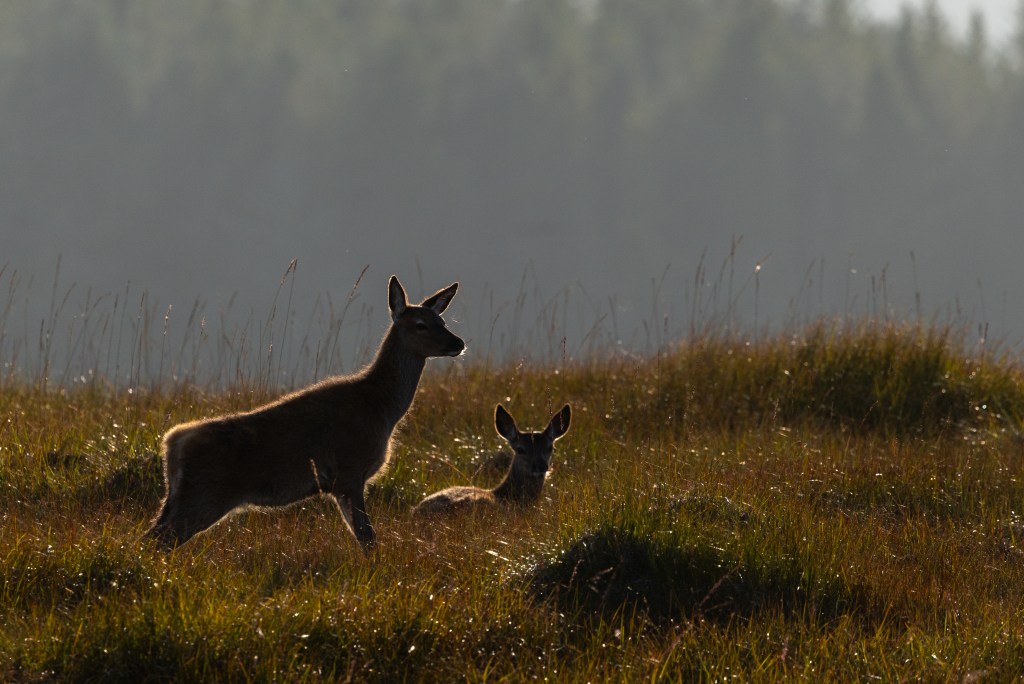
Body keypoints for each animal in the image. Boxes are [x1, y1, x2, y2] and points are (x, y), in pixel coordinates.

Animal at [146, 275, 465, 551]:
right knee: (157, 541)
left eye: (442, 320)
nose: (458, 343)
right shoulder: (349, 471)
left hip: (178, 498)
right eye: (421, 325)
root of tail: (172, 442)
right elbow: (367, 539)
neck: (381, 408)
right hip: (203, 495)